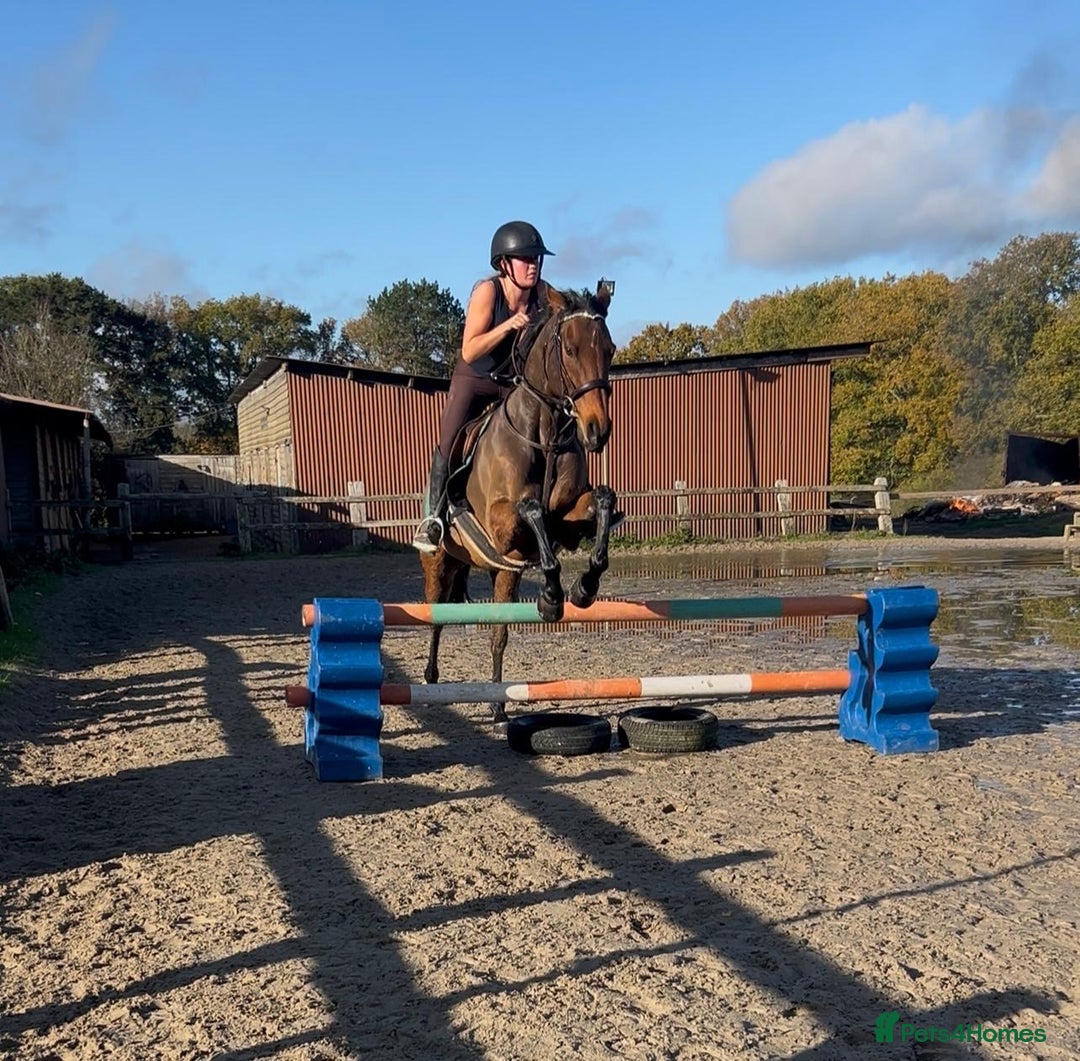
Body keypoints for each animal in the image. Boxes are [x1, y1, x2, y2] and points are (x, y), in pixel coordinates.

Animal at [419, 280, 619, 727]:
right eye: (570, 350)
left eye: (610, 349)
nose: (597, 431)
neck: (544, 434)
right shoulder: (502, 525)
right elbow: (531, 509)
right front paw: (551, 595)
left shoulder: (565, 520)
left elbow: (601, 500)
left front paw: (581, 588)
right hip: (439, 564)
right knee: (437, 618)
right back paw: (437, 680)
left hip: (499, 572)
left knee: (497, 631)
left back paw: (495, 701)